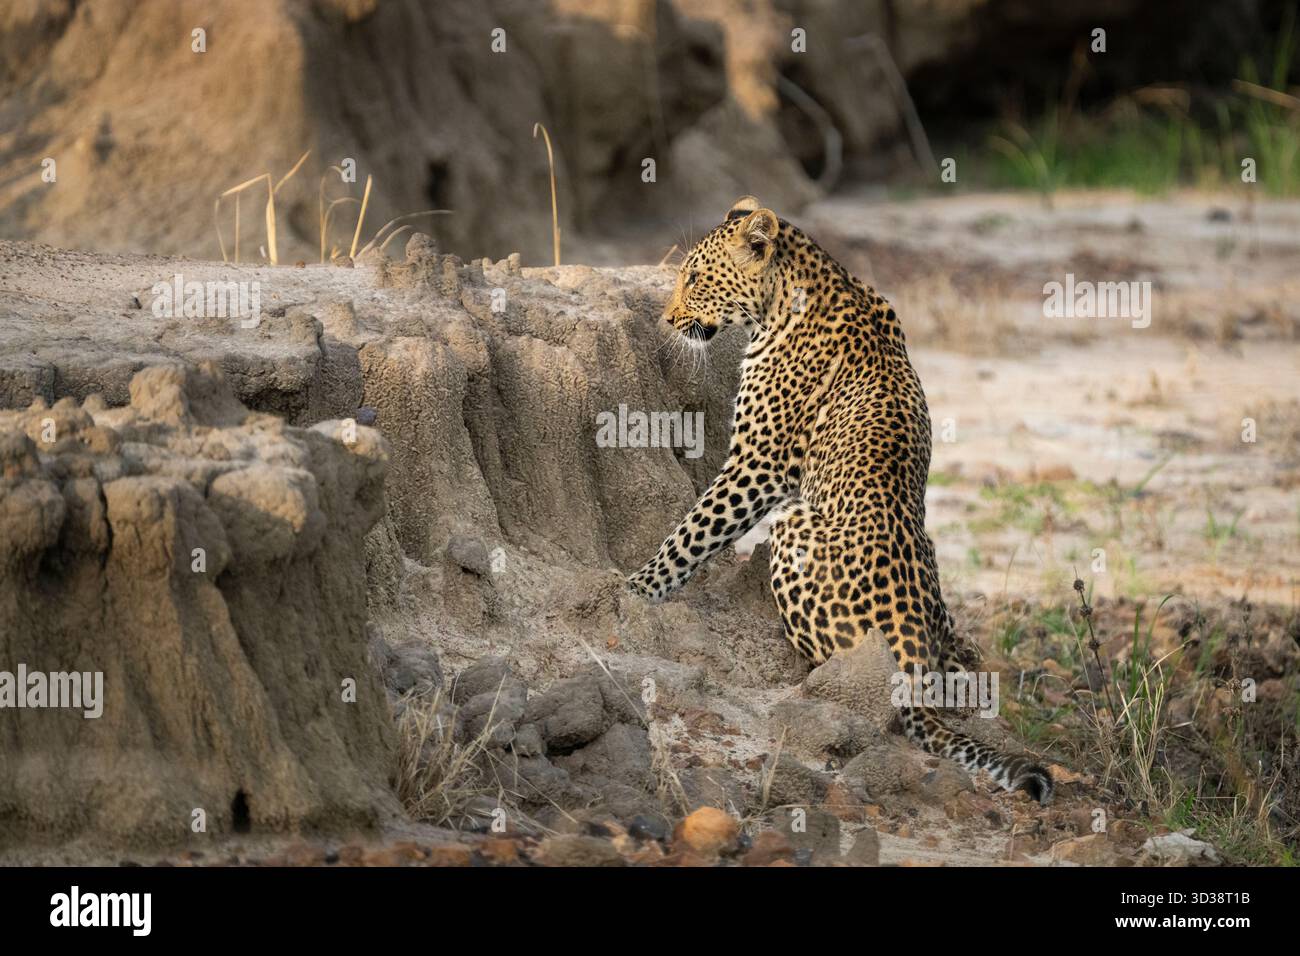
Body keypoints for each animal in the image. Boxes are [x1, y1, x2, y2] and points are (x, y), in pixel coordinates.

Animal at [627, 195, 1053, 804]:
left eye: (696, 279)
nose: (665, 318)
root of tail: (911, 657)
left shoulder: (758, 463)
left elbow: (693, 531)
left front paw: (636, 589)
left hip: (794, 523)